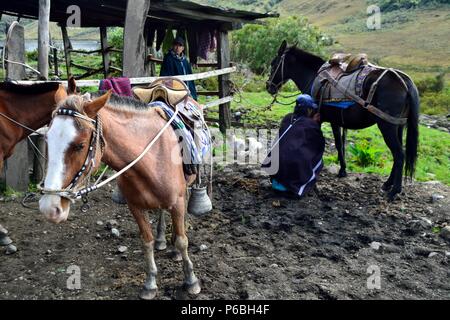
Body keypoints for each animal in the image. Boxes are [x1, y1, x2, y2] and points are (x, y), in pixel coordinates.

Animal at [39, 80, 201, 300]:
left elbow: (183, 241)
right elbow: (146, 241)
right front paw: (150, 283)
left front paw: (191, 280)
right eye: (47, 139)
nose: (50, 207)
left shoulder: (176, 202)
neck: (153, 157)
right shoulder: (135, 207)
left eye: (80, 145)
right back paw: (162, 239)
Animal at [268, 40, 418, 200]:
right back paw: (387, 184)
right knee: (398, 155)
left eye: (273, 63)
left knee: (399, 155)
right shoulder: (335, 121)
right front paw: (343, 170)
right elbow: (340, 144)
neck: (313, 76)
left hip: (387, 126)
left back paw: (394, 190)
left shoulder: (317, 119)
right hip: (398, 126)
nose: (268, 86)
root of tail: (405, 82)